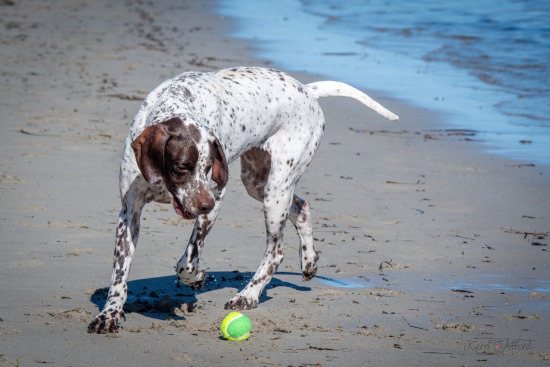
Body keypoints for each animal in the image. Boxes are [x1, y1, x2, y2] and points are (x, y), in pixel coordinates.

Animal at [89, 66, 402, 334]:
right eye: (181, 167)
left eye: (208, 167)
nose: (205, 204)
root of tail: (308, 90)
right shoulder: (129, 211)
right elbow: (119, 274)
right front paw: (110, 313)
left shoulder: (215, 199)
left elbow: (187, 262)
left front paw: (197, 277)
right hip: (258, 183)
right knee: (302, 208)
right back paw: (309, 261)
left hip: (276, 189)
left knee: (275, 252)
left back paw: (248, 294)